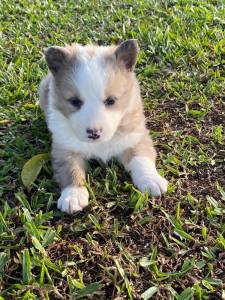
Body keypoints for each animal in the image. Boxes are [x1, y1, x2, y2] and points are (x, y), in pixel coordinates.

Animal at [39, 39, 168, 213]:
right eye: (75, 102)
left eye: (111, 101)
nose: (94, 133)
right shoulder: (64, 148)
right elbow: (70, 169)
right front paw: (73, 195)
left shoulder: (135, 136)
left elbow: (141, 159)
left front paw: (151, 180)